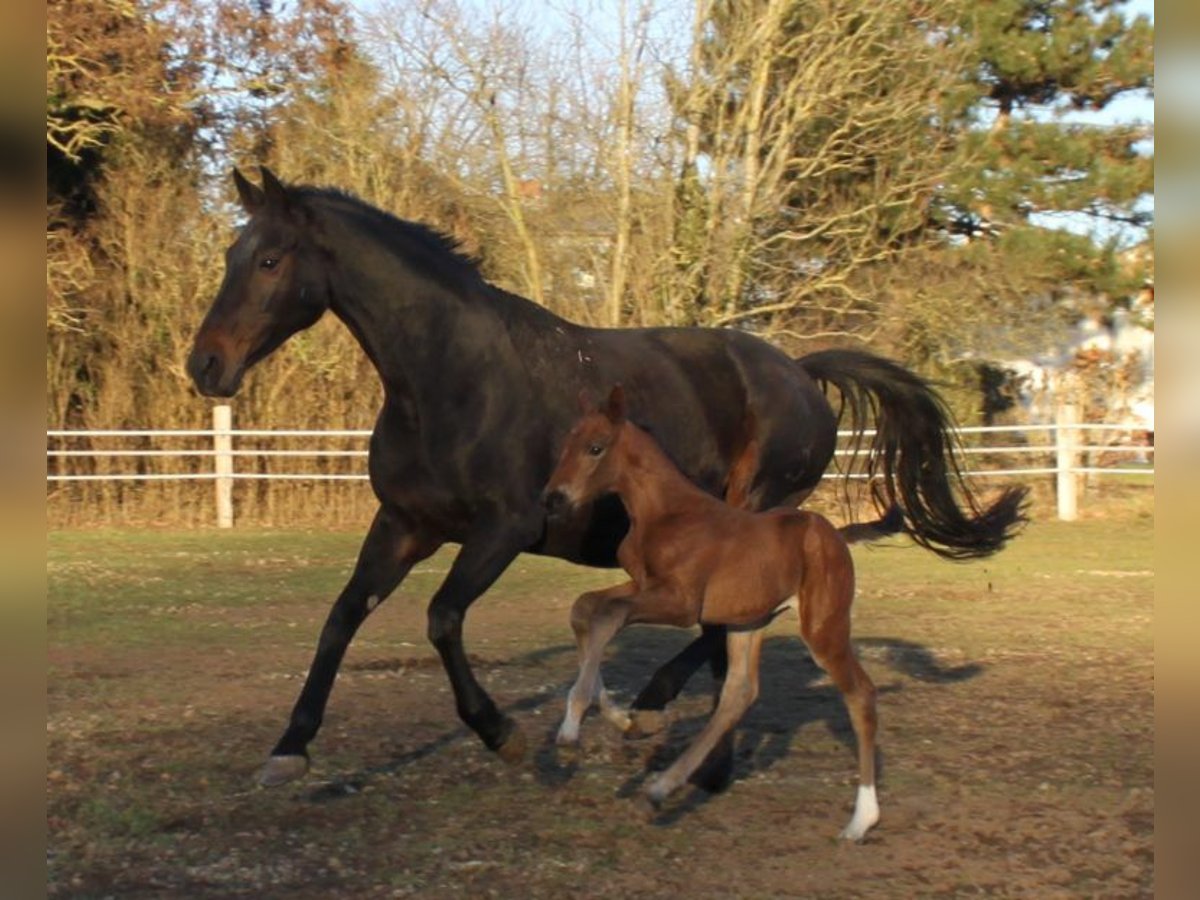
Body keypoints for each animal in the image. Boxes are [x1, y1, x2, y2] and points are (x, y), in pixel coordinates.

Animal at [189, 168, 1032, 787]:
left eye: (270, 260)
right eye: (231, 255)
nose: (205, 365)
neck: (449, 379)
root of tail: (801, 372)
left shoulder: (505, 528)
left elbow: (441, 618)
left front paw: (505, 735)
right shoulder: (404, 525)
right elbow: (341, 617)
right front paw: (288, 749)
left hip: (754, 512)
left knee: (725, 624)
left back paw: (659, 716)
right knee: (726, 638)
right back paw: (698, 758)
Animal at [544, 388, 883, 844]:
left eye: (595, 447)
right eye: (567, 443)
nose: (553, 498)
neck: (666, 512)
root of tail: (833, 536)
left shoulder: (680, 602)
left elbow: (606, 618)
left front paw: (574, 724)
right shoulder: (643, 586)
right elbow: (585, 609)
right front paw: (626, 719)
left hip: (822, 627)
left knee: (860, 694)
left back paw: (861, 819)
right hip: (748, 620)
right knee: (739, 694)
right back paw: (656, 791)